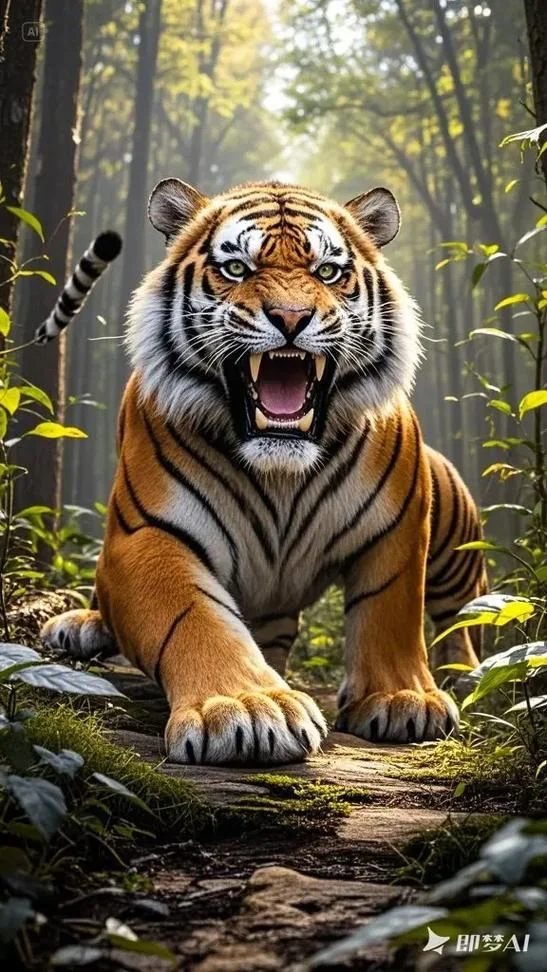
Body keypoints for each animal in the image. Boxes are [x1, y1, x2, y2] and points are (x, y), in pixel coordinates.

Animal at [41, 178, 487, 765]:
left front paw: (401, 698)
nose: (291, 318)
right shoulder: (147, 536)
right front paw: (248, 709)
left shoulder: (399, 528)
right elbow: (193, 617)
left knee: (462, 613)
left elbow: (390, 611)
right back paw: (81, 626)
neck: (281, 472)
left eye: (328, 272)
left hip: (454, 526)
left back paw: (464, 674)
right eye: (236, 268)